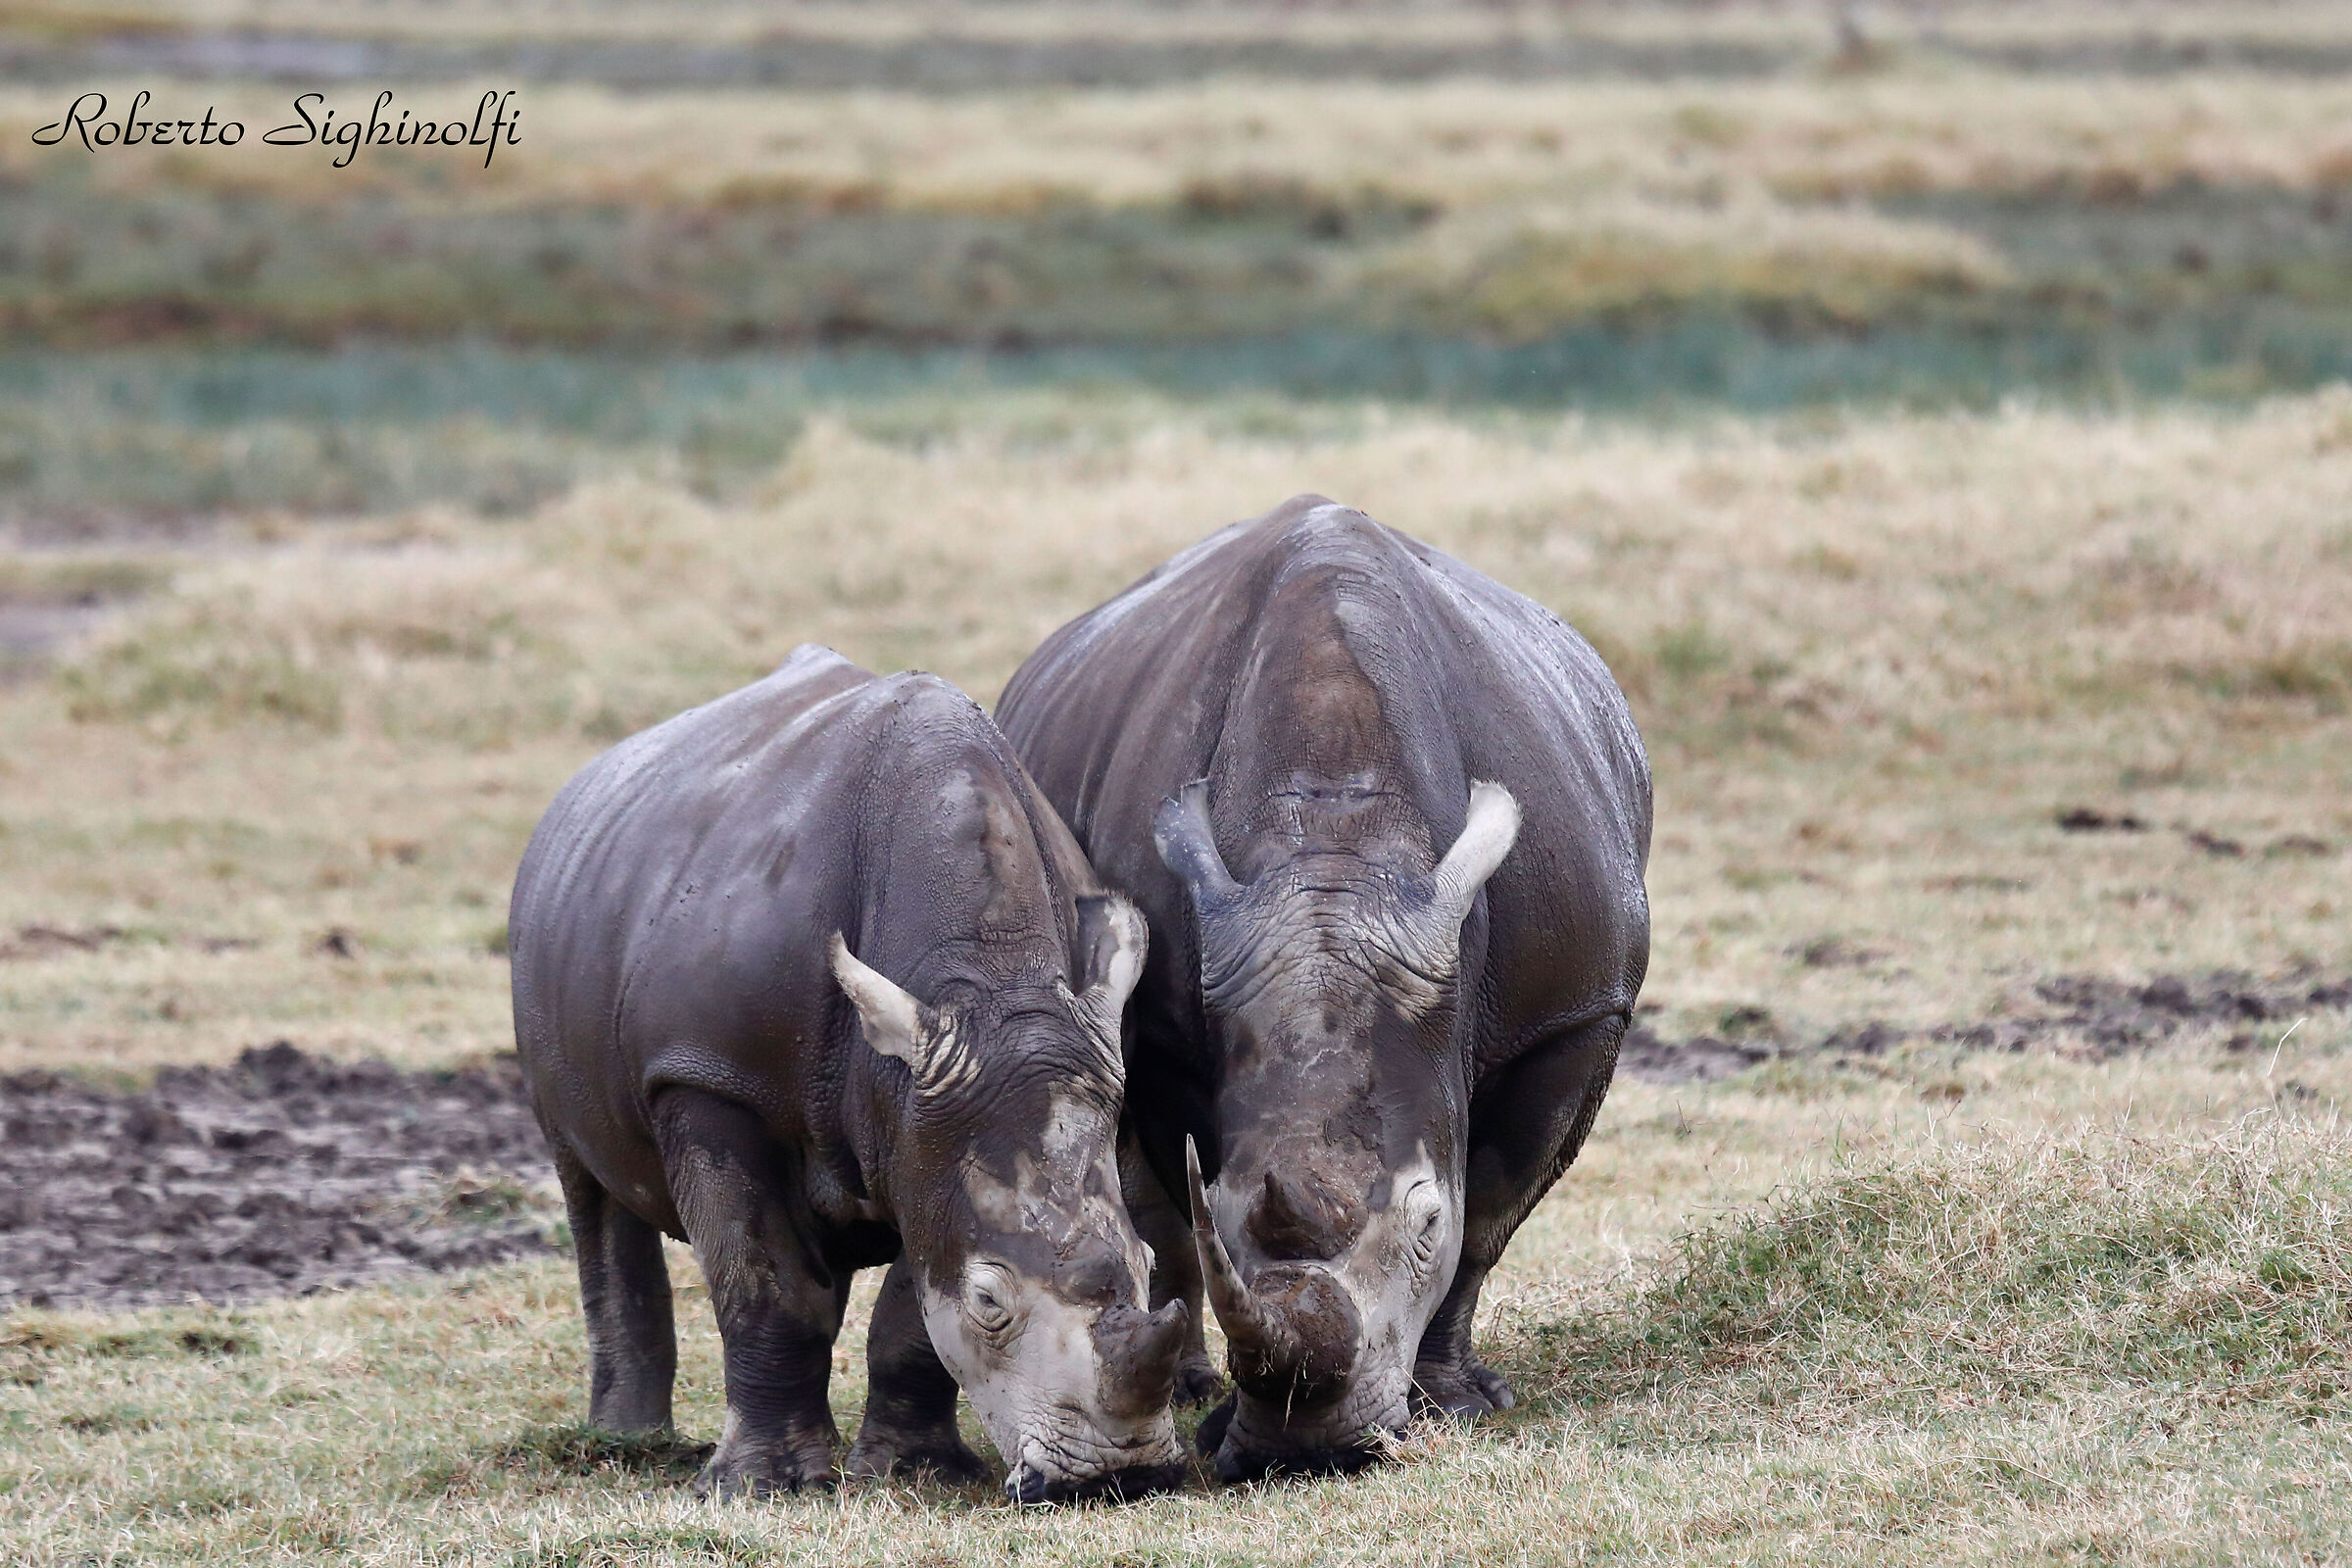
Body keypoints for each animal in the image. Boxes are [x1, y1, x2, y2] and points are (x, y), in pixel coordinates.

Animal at [510, 645, 1189, 1502]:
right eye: (989, 1302)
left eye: (1148, 1267)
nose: (1120, 1476)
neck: (991, 983)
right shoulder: (709, 1081)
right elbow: (766, 1286)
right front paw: (758, 1487)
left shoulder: (924, 1132)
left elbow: (911, 1311)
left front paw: (913, 1471)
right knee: (587, 1180)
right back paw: (627, 1444)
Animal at [997, 497, 1651, 1480]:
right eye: (1230, 1210)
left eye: (1423, 1223)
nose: (1307, 1455)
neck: (1339, 851)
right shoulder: (1168, 1029)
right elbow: (1183, 1193)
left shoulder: (1576, 1013)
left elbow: (1488, 1215)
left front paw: (1455, 1403)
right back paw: (1187, 1387)